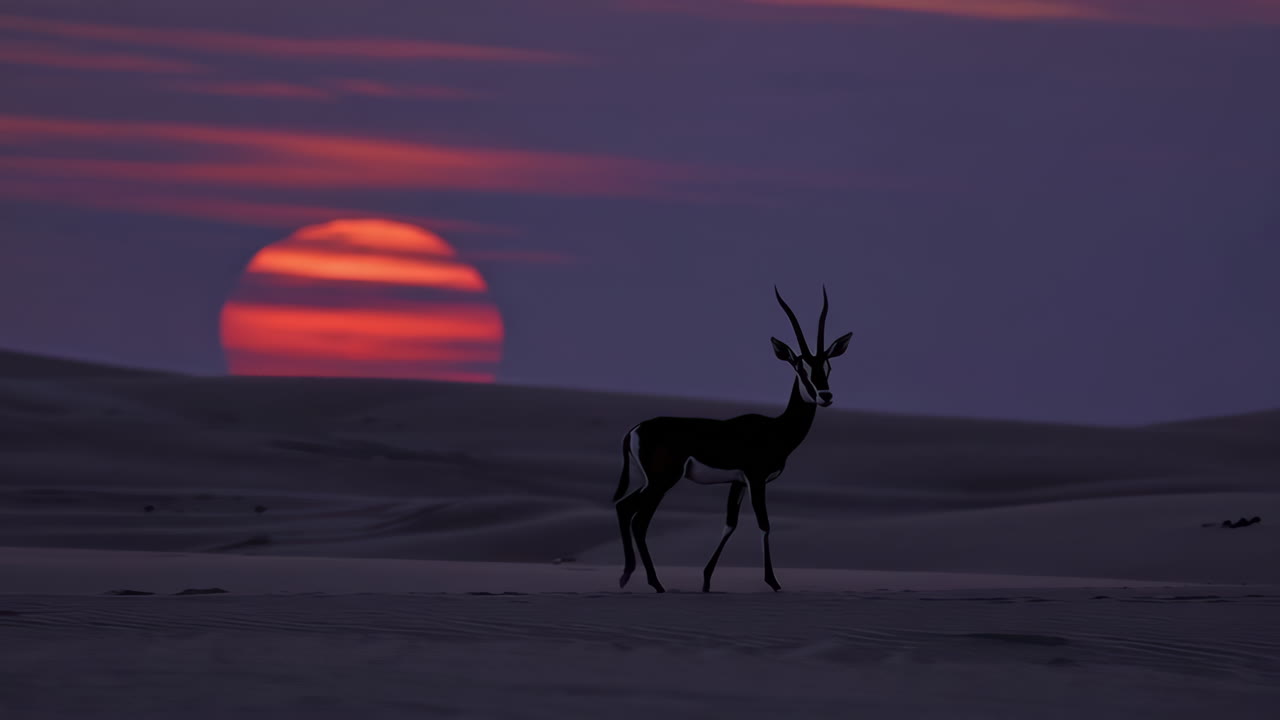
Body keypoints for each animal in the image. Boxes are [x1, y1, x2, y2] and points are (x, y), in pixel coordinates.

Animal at [613, 287, 852, 593]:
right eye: (801, 369)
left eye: (827, 367)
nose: (826, 395)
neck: (775, 428)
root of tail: (635, 429)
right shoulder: (756, 479)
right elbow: (764, 523)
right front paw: (773, 582)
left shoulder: (738, 482)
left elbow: (730, 524)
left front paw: (706, 580)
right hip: (661, 482)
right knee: (639, 521)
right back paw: (655, 583)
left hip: (651, 482)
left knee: (624, 508)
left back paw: (627, 576)